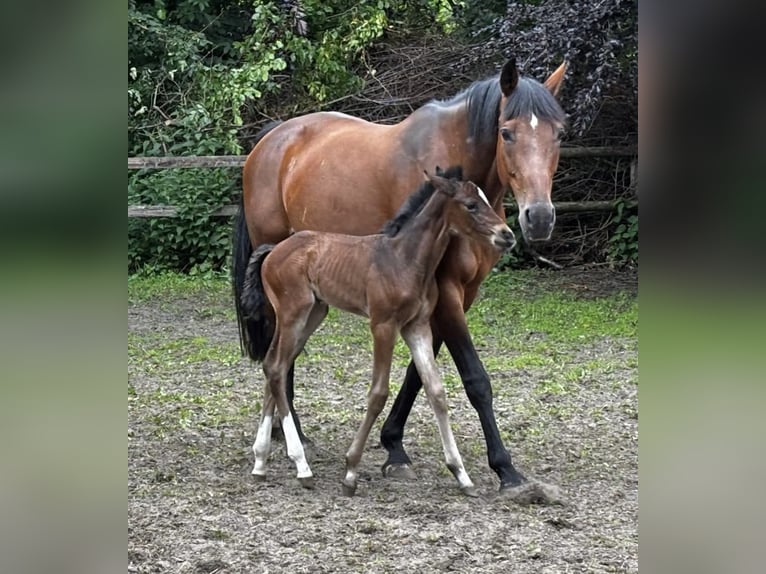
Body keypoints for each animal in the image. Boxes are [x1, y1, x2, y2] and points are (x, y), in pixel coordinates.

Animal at [240, 168, 516, 496]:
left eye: (486, 199)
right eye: (471, 205)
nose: (507, 235)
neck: (404, 260)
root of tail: (273, 250)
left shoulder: (417, 327)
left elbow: (436, 391)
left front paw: (461, 474)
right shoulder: (383, 325)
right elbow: (378, 392)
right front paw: (350, 472)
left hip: (313, 314)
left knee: (274, 366)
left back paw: (260, 463)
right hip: (293, 312)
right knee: (277, 367)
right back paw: (301, 466)